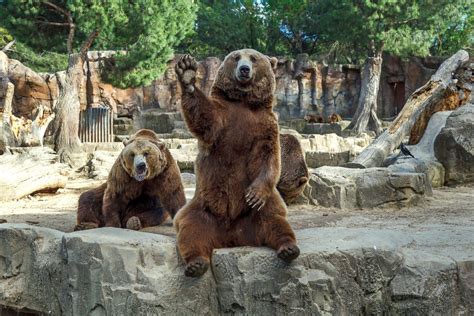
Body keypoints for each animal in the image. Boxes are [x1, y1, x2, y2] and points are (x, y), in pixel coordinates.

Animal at [174, 48, 300, 276]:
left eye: (254, 58)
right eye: (236, 57)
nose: (244, 69)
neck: (243, 102)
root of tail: (232, 237)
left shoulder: (265, 125)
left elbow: (270, 156)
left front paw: (254, 194)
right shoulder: (224, 118)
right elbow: (205, 119)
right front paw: (187, 73)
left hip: (257, 212)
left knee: (274, 219)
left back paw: (288, 248)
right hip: (203, 208)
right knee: (191, 230)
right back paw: (196, 264)